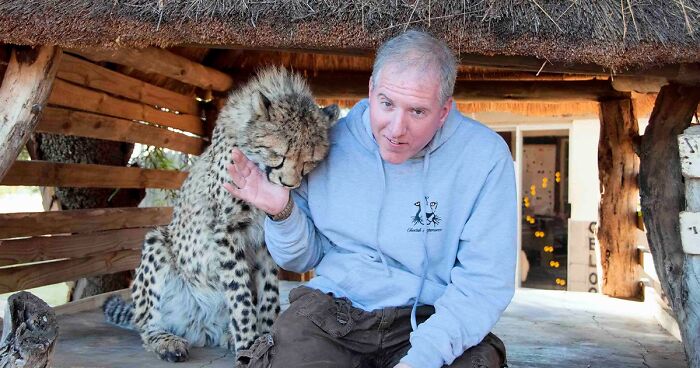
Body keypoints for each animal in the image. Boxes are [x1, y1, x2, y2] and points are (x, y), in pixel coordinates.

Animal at [102, 66, 340, 362]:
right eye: (279, 154)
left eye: (309, 161)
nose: (289, 184)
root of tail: (199, 326)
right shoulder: (227, 229)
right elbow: (239, 294)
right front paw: (249, 343)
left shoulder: (265, 239)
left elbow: (269, 290)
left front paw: (267, 335)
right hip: (157, 243)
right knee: (146, 322)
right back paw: (167, 341)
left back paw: (225, 334)